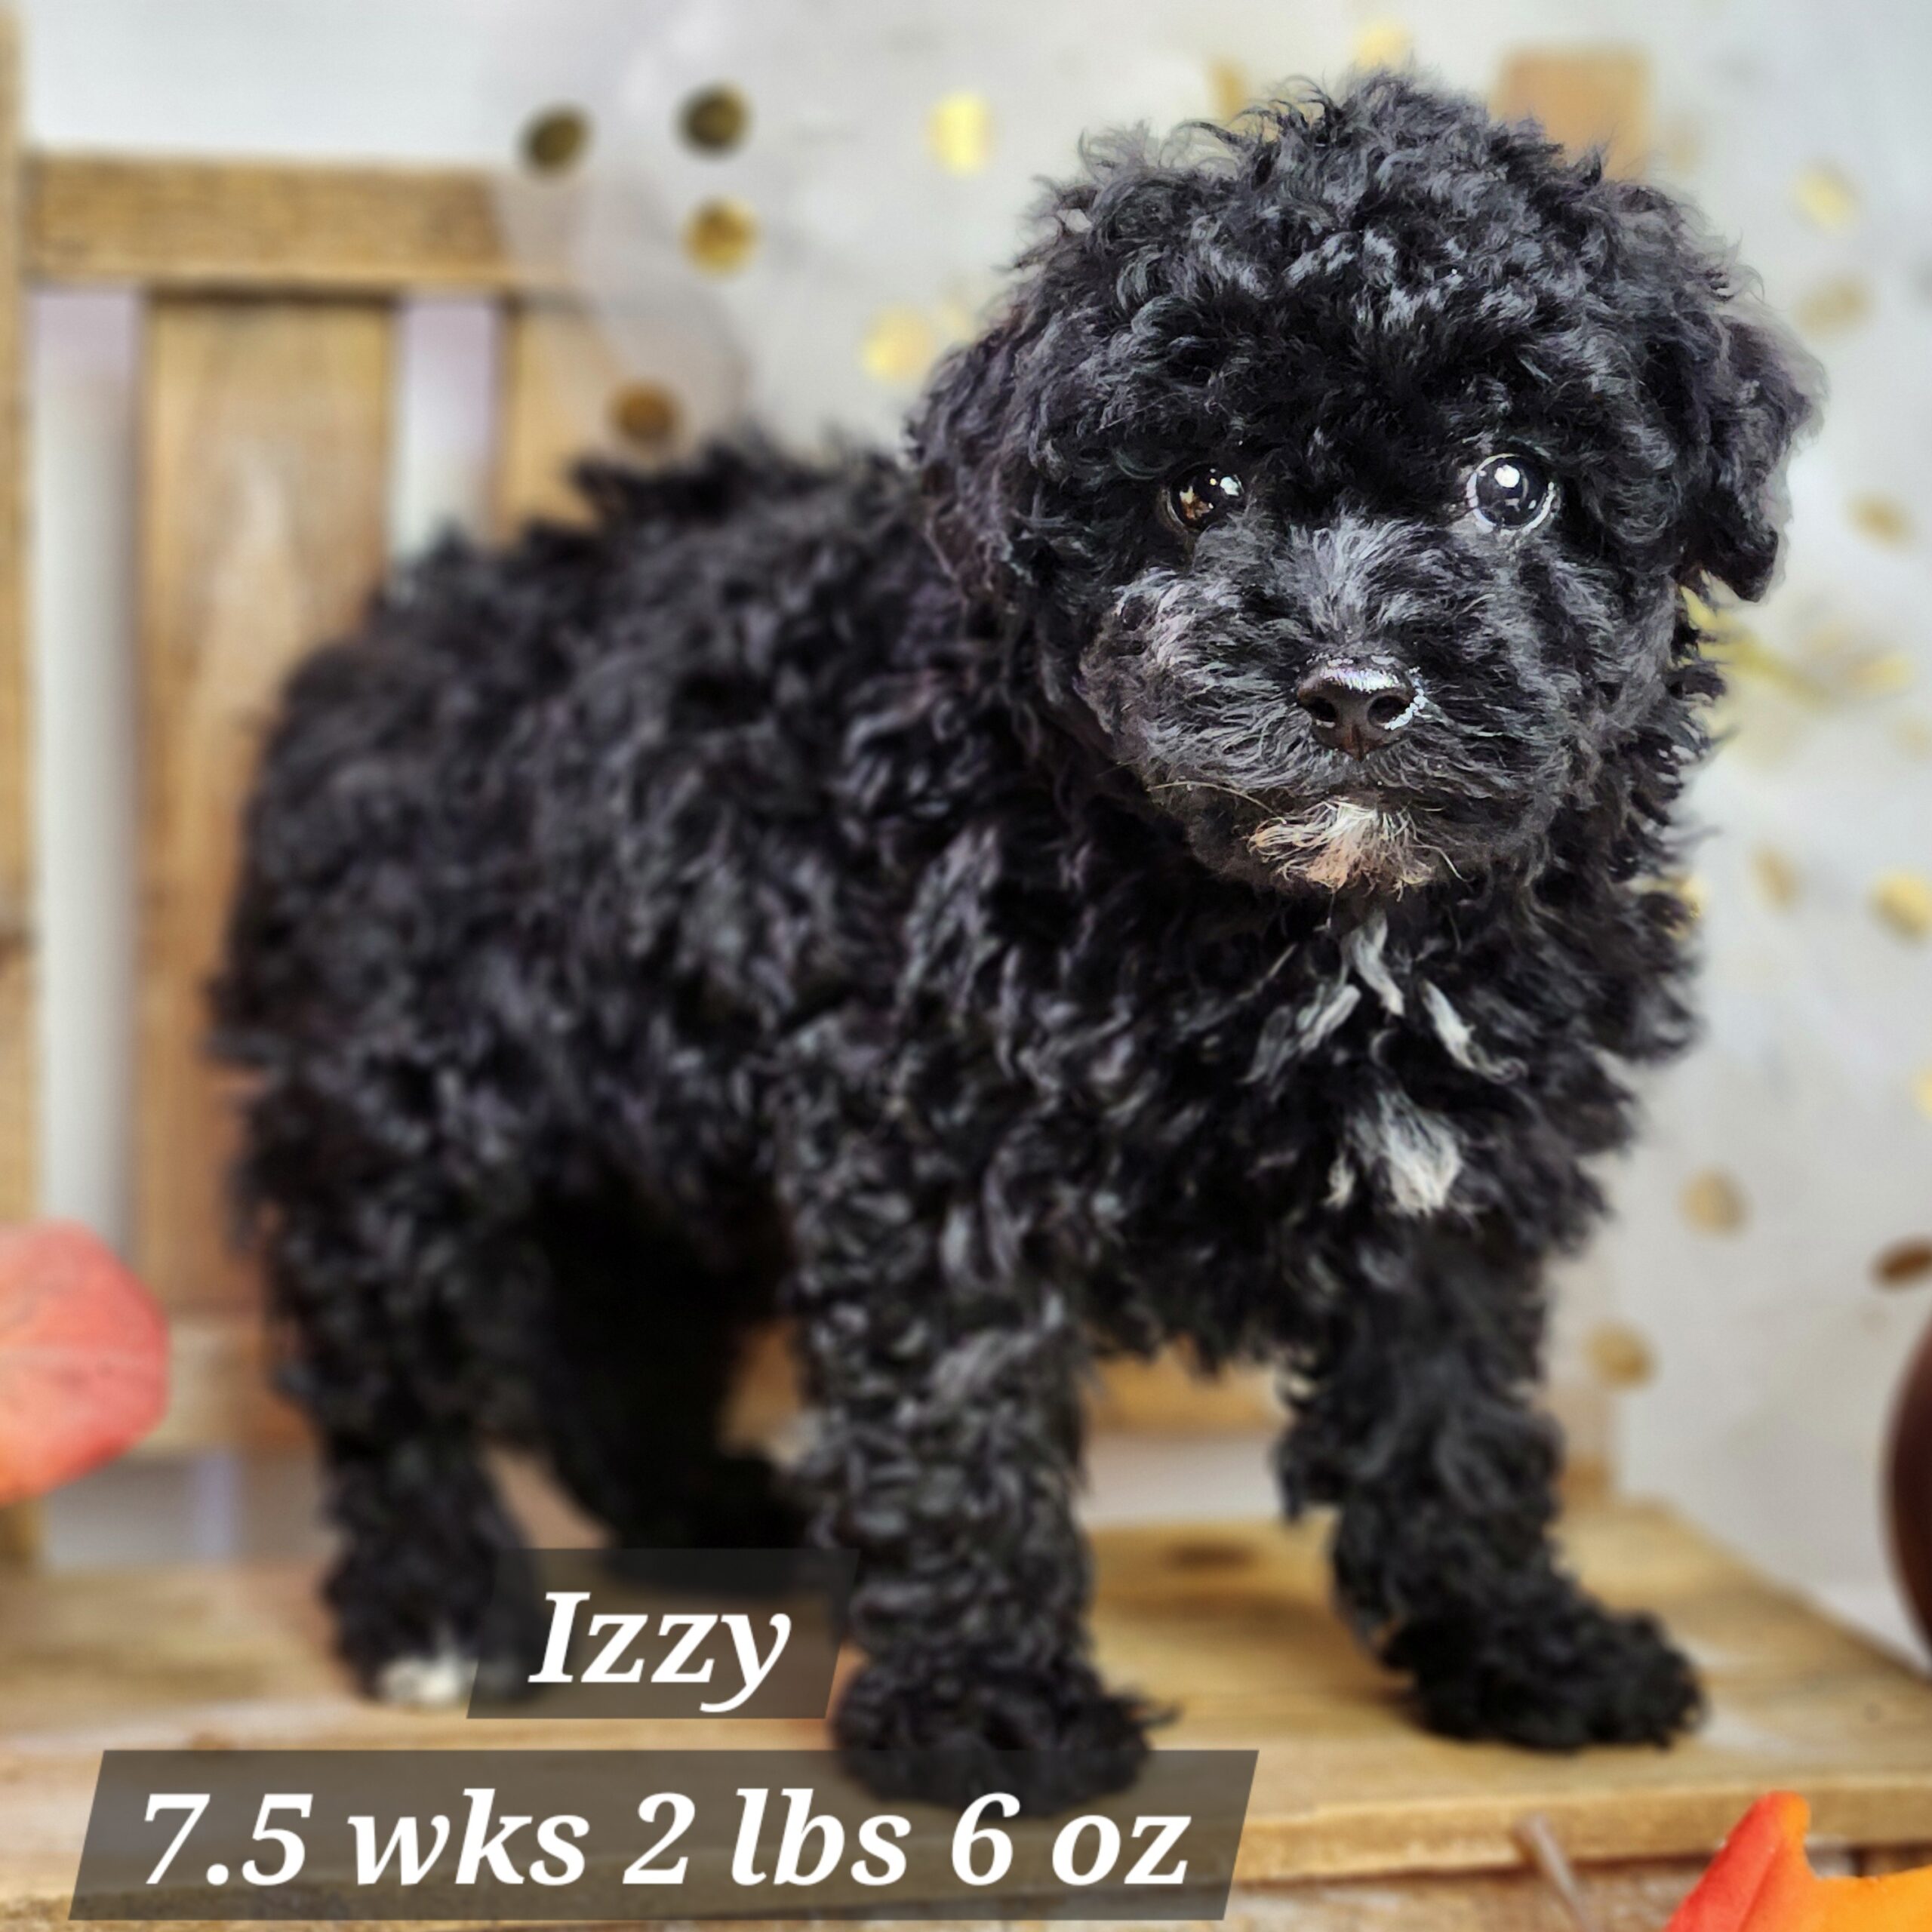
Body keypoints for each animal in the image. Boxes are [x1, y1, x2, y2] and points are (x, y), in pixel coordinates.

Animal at [222, 78, 1808, 1808]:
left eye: (1512, 484)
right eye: (1199, 491)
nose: (1349, 687)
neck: (1313, 927)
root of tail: (394, 638)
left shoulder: (1454, 1175)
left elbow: (1450, 1418)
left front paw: (1523, 1643)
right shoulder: (934, 1142)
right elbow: (958, 1421)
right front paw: (987, 1706)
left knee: (615, 1336)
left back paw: (711, 1516)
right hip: (414, 1093)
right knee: (397, 1358)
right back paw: (437, 1598)